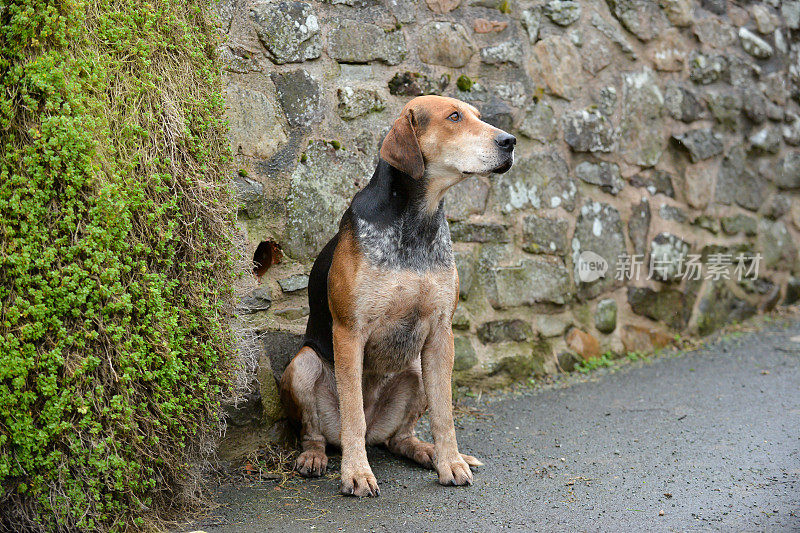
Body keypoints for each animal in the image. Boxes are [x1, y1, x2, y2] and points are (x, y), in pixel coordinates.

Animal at [282, 94, 516, 494]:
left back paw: (427, 452)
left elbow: (444, 413)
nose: (510, 141)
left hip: (417, 369)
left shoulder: (441, 333)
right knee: (317, 432)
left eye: (478, 116)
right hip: (305, 363)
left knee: (400, 438)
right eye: (454, 117)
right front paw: (356, 472)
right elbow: (353, 414)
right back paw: (315, 456)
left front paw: (450, 461)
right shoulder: (349, 331)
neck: (418, 221)